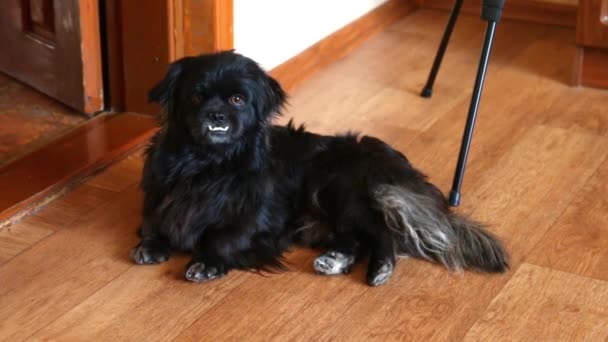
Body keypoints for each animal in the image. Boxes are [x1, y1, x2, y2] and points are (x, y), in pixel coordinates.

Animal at [132, 50, 508, 286]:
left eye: (237, 100)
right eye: (197, 97)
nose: (216, 115)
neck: (208, 162)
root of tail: (394, 166)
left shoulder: (254, 219)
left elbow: (223, 237)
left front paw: (207, 262)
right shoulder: (162, 198)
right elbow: (156, 222)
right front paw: (152, 245)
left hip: (338, 189)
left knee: (382, 235)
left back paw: (380, 269)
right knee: (355, 240)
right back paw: (334, 260)